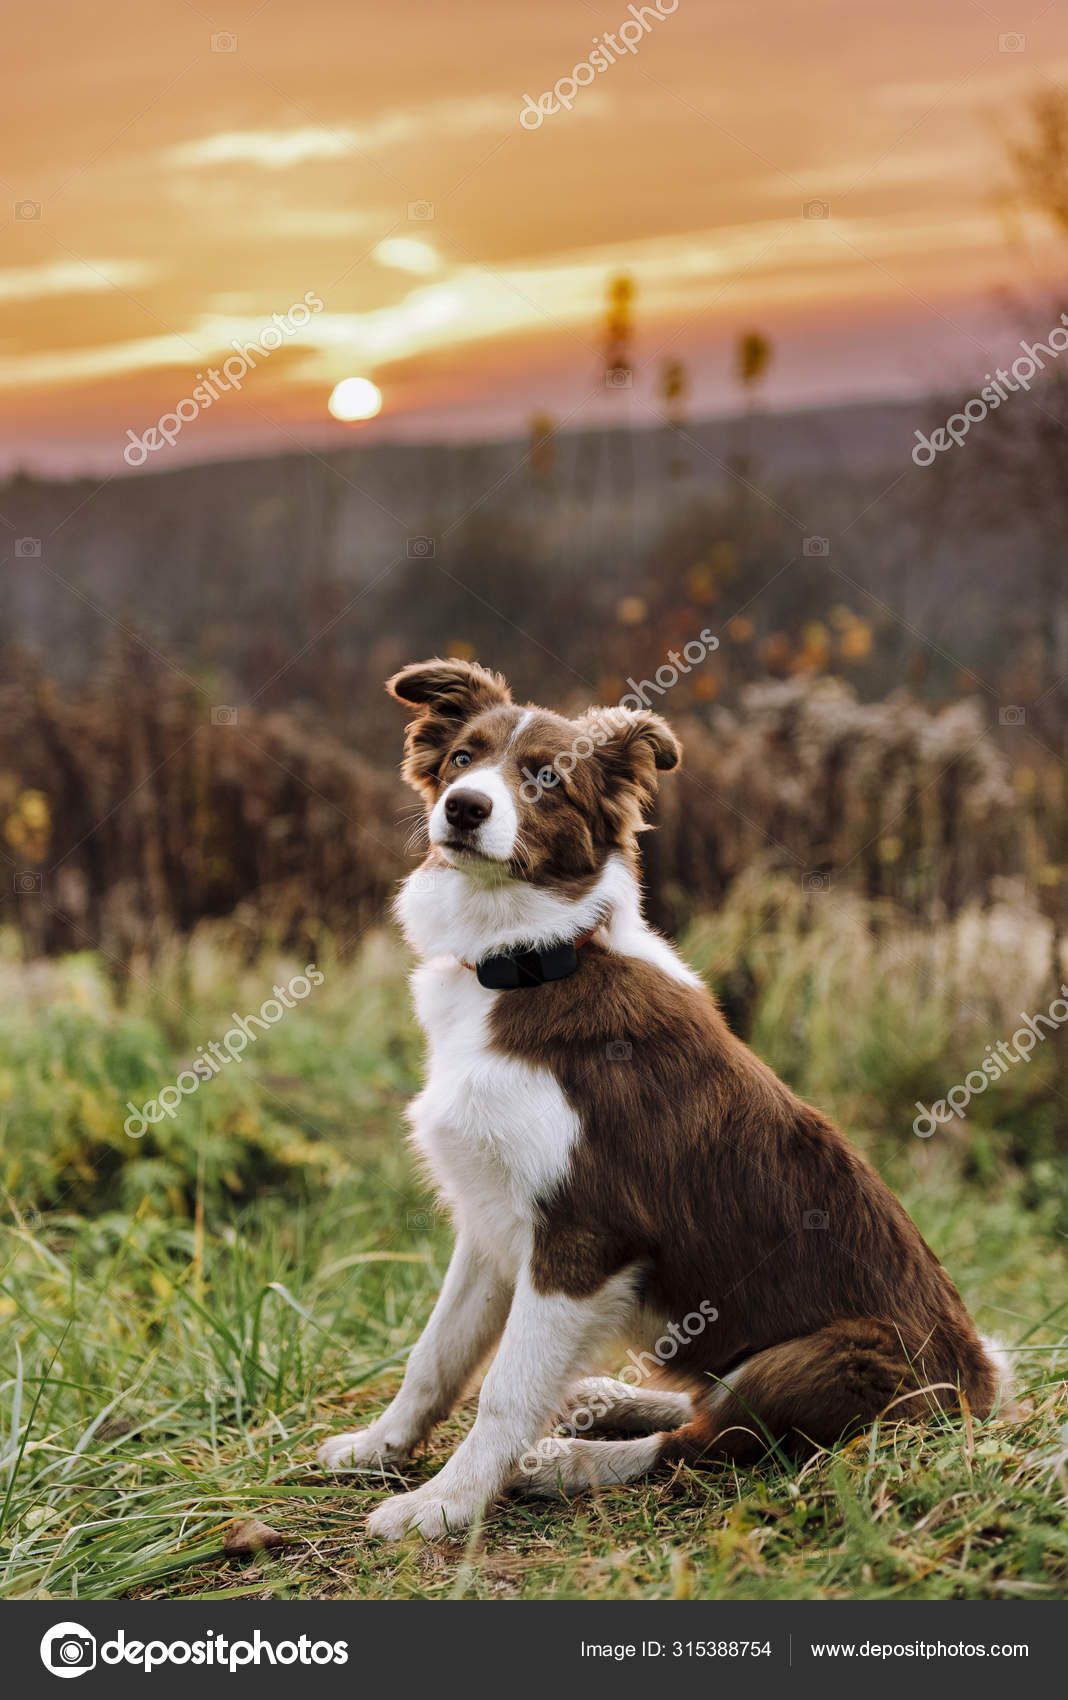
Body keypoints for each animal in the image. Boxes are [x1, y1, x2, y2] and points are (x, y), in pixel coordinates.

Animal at [319, 656, 1006, 1536]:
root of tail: (982, 1386)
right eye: (463, 758)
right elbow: (435, 1354)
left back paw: (568, 1459)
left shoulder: (585, 1235)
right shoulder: (491, 1217)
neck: (536, 959)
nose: (464, 807)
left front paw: (444, 1506)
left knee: (711, 1442)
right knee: (703, 1407)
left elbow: (506, 1390)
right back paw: (610, 1398)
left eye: (546, 778)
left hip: (829, 1355)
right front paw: (379, 1449)